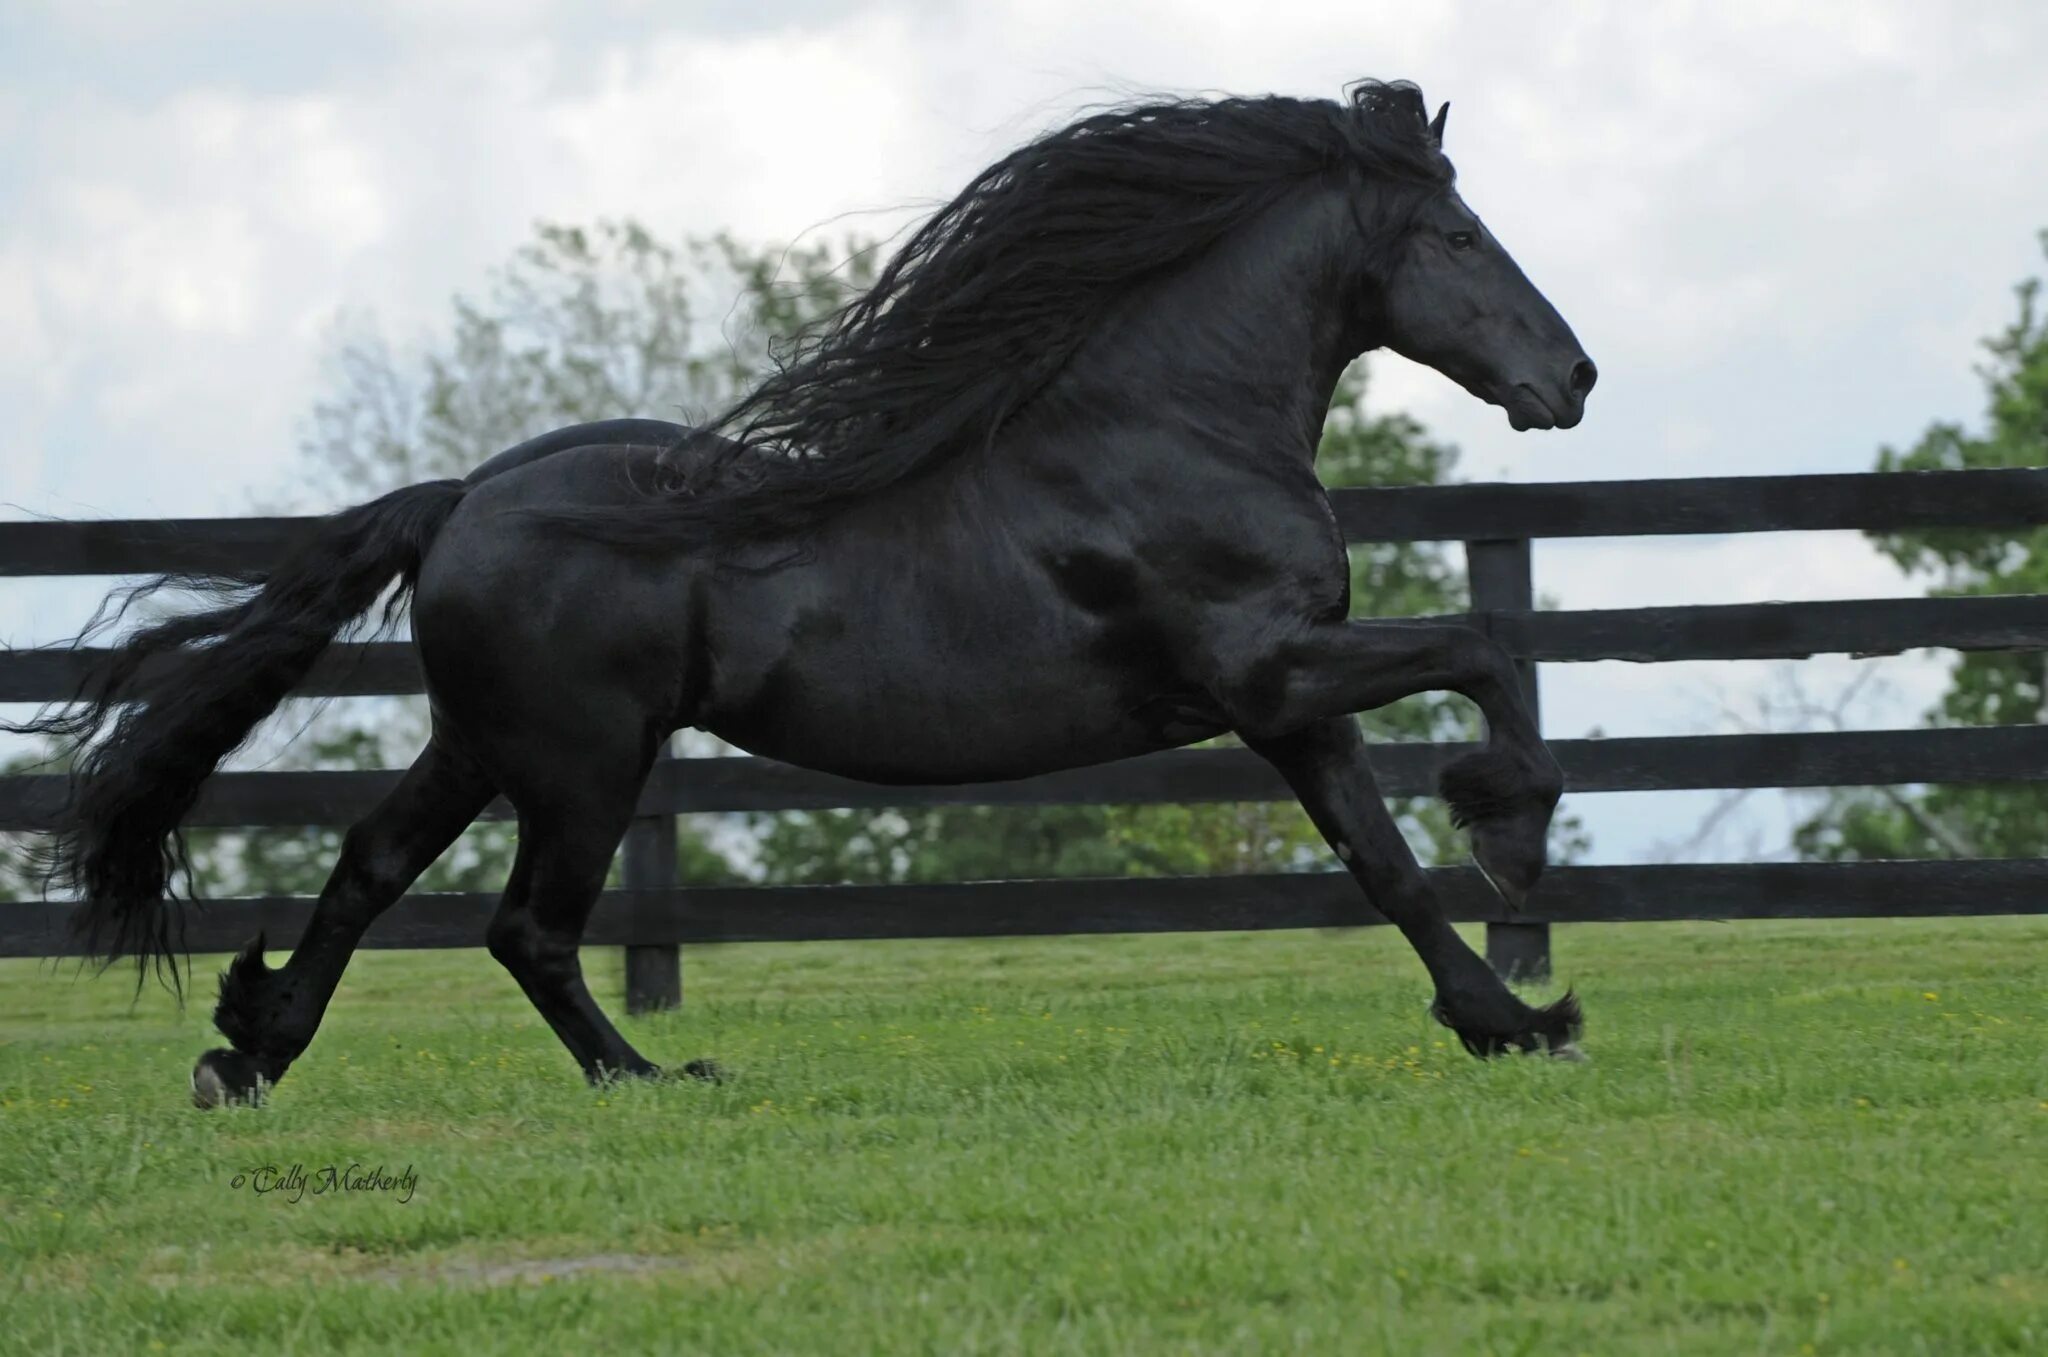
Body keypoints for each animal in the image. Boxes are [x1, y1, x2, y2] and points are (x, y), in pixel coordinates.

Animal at [12, 79, 1597, 1113]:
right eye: (1460, 241)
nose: (1571, 377)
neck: (1167, 426)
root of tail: (461, 502)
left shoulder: (1286, 700)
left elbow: (1380, 861)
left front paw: (1511, 1020)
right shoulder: (1270, 673)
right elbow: (1482, 649)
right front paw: (1514, 850)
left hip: (480, 744)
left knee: (369, 869)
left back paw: (247, 1051)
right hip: (583, 762)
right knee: (525, 928)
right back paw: (656, 1077)